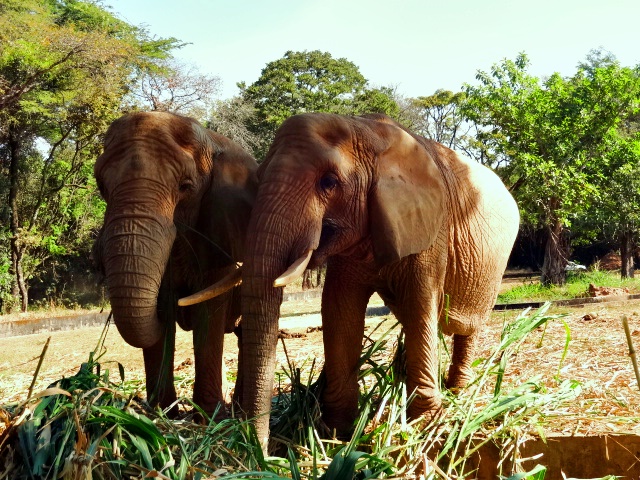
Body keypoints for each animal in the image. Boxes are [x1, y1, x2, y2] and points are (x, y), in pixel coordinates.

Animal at [93, 111, 258, 416]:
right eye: (102, 187)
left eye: (185, 187)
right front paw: (161, 414)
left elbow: (208, 314)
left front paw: (207, 417)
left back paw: (238, 411)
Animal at [184, 112, 520, 449]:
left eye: (328, 182)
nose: (263, 447)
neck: (367, 131)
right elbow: (339, 309)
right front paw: (336, 432)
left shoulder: (431, 227)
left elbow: (420, 305)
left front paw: (423, 425)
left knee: (464, 327)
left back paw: (458, 392)